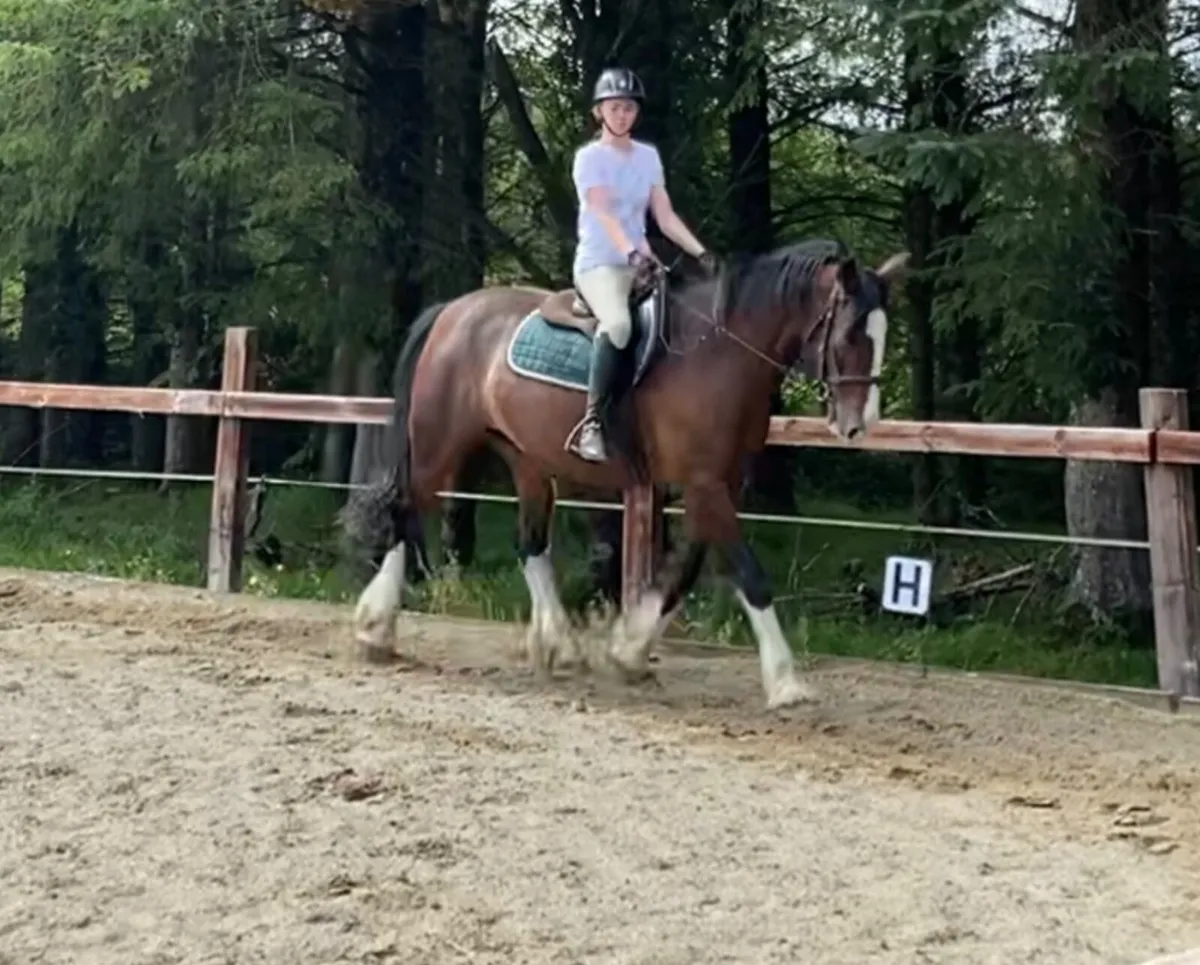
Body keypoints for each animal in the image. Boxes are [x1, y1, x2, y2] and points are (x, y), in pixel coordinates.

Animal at [341, 238, 910, 711]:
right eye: (850, 334)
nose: (860, 425)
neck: (720, 353)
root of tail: (453, 310)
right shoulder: (705, 485)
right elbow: (750, 575)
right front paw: (786, 681)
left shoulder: (715, 485)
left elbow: (683, 570)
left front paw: (630, 650)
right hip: (440, 444)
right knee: (406, 512)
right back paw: (375, 629)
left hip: (527, 459)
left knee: (530, 545)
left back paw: (560, 644)